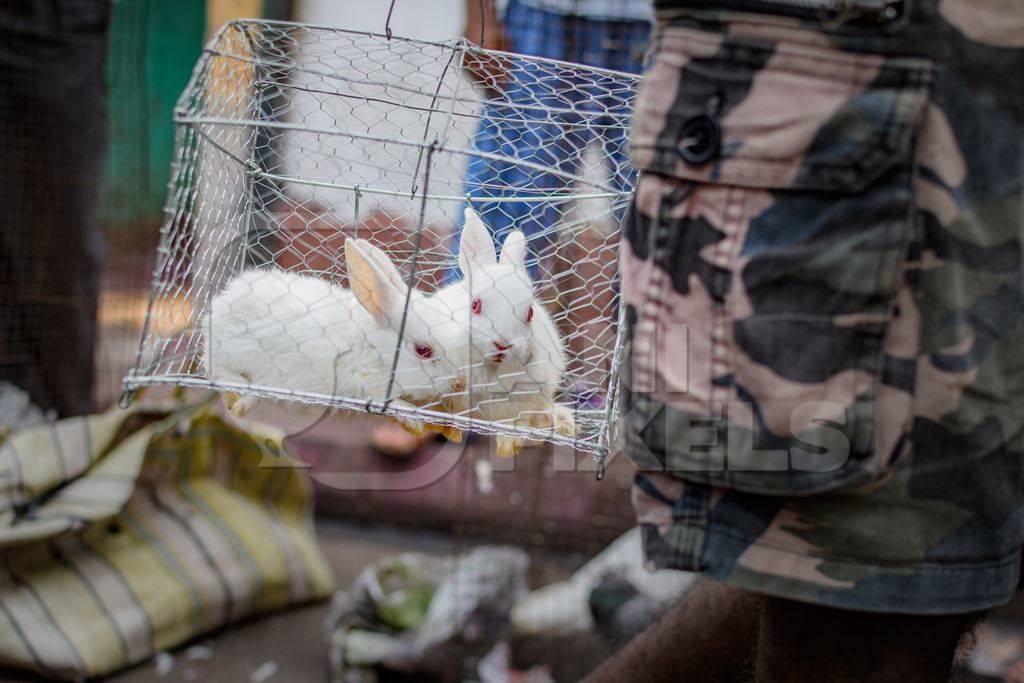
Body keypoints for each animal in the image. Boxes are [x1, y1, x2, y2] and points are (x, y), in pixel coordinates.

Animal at [204, 236, 468, 438]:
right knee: (217, 372)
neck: (372, 347)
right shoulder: (368, 385)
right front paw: (413, 420)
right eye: (424, 350)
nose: (459, 383)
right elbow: (389, 402)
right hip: (231, 357)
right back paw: (240, 400)